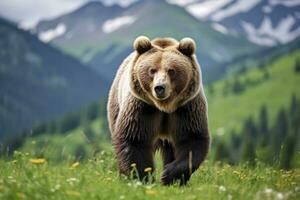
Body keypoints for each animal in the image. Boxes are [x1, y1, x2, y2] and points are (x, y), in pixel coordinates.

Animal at [108, 35, 211, 184]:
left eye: (171, 70)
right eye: (152, 70)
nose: (159, 87)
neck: (164, 107)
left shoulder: (186, 108)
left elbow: (192, 139)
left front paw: (169, 175)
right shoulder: (142, 107)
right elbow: (134, 139)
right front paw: (142, 177)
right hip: (117, 103)